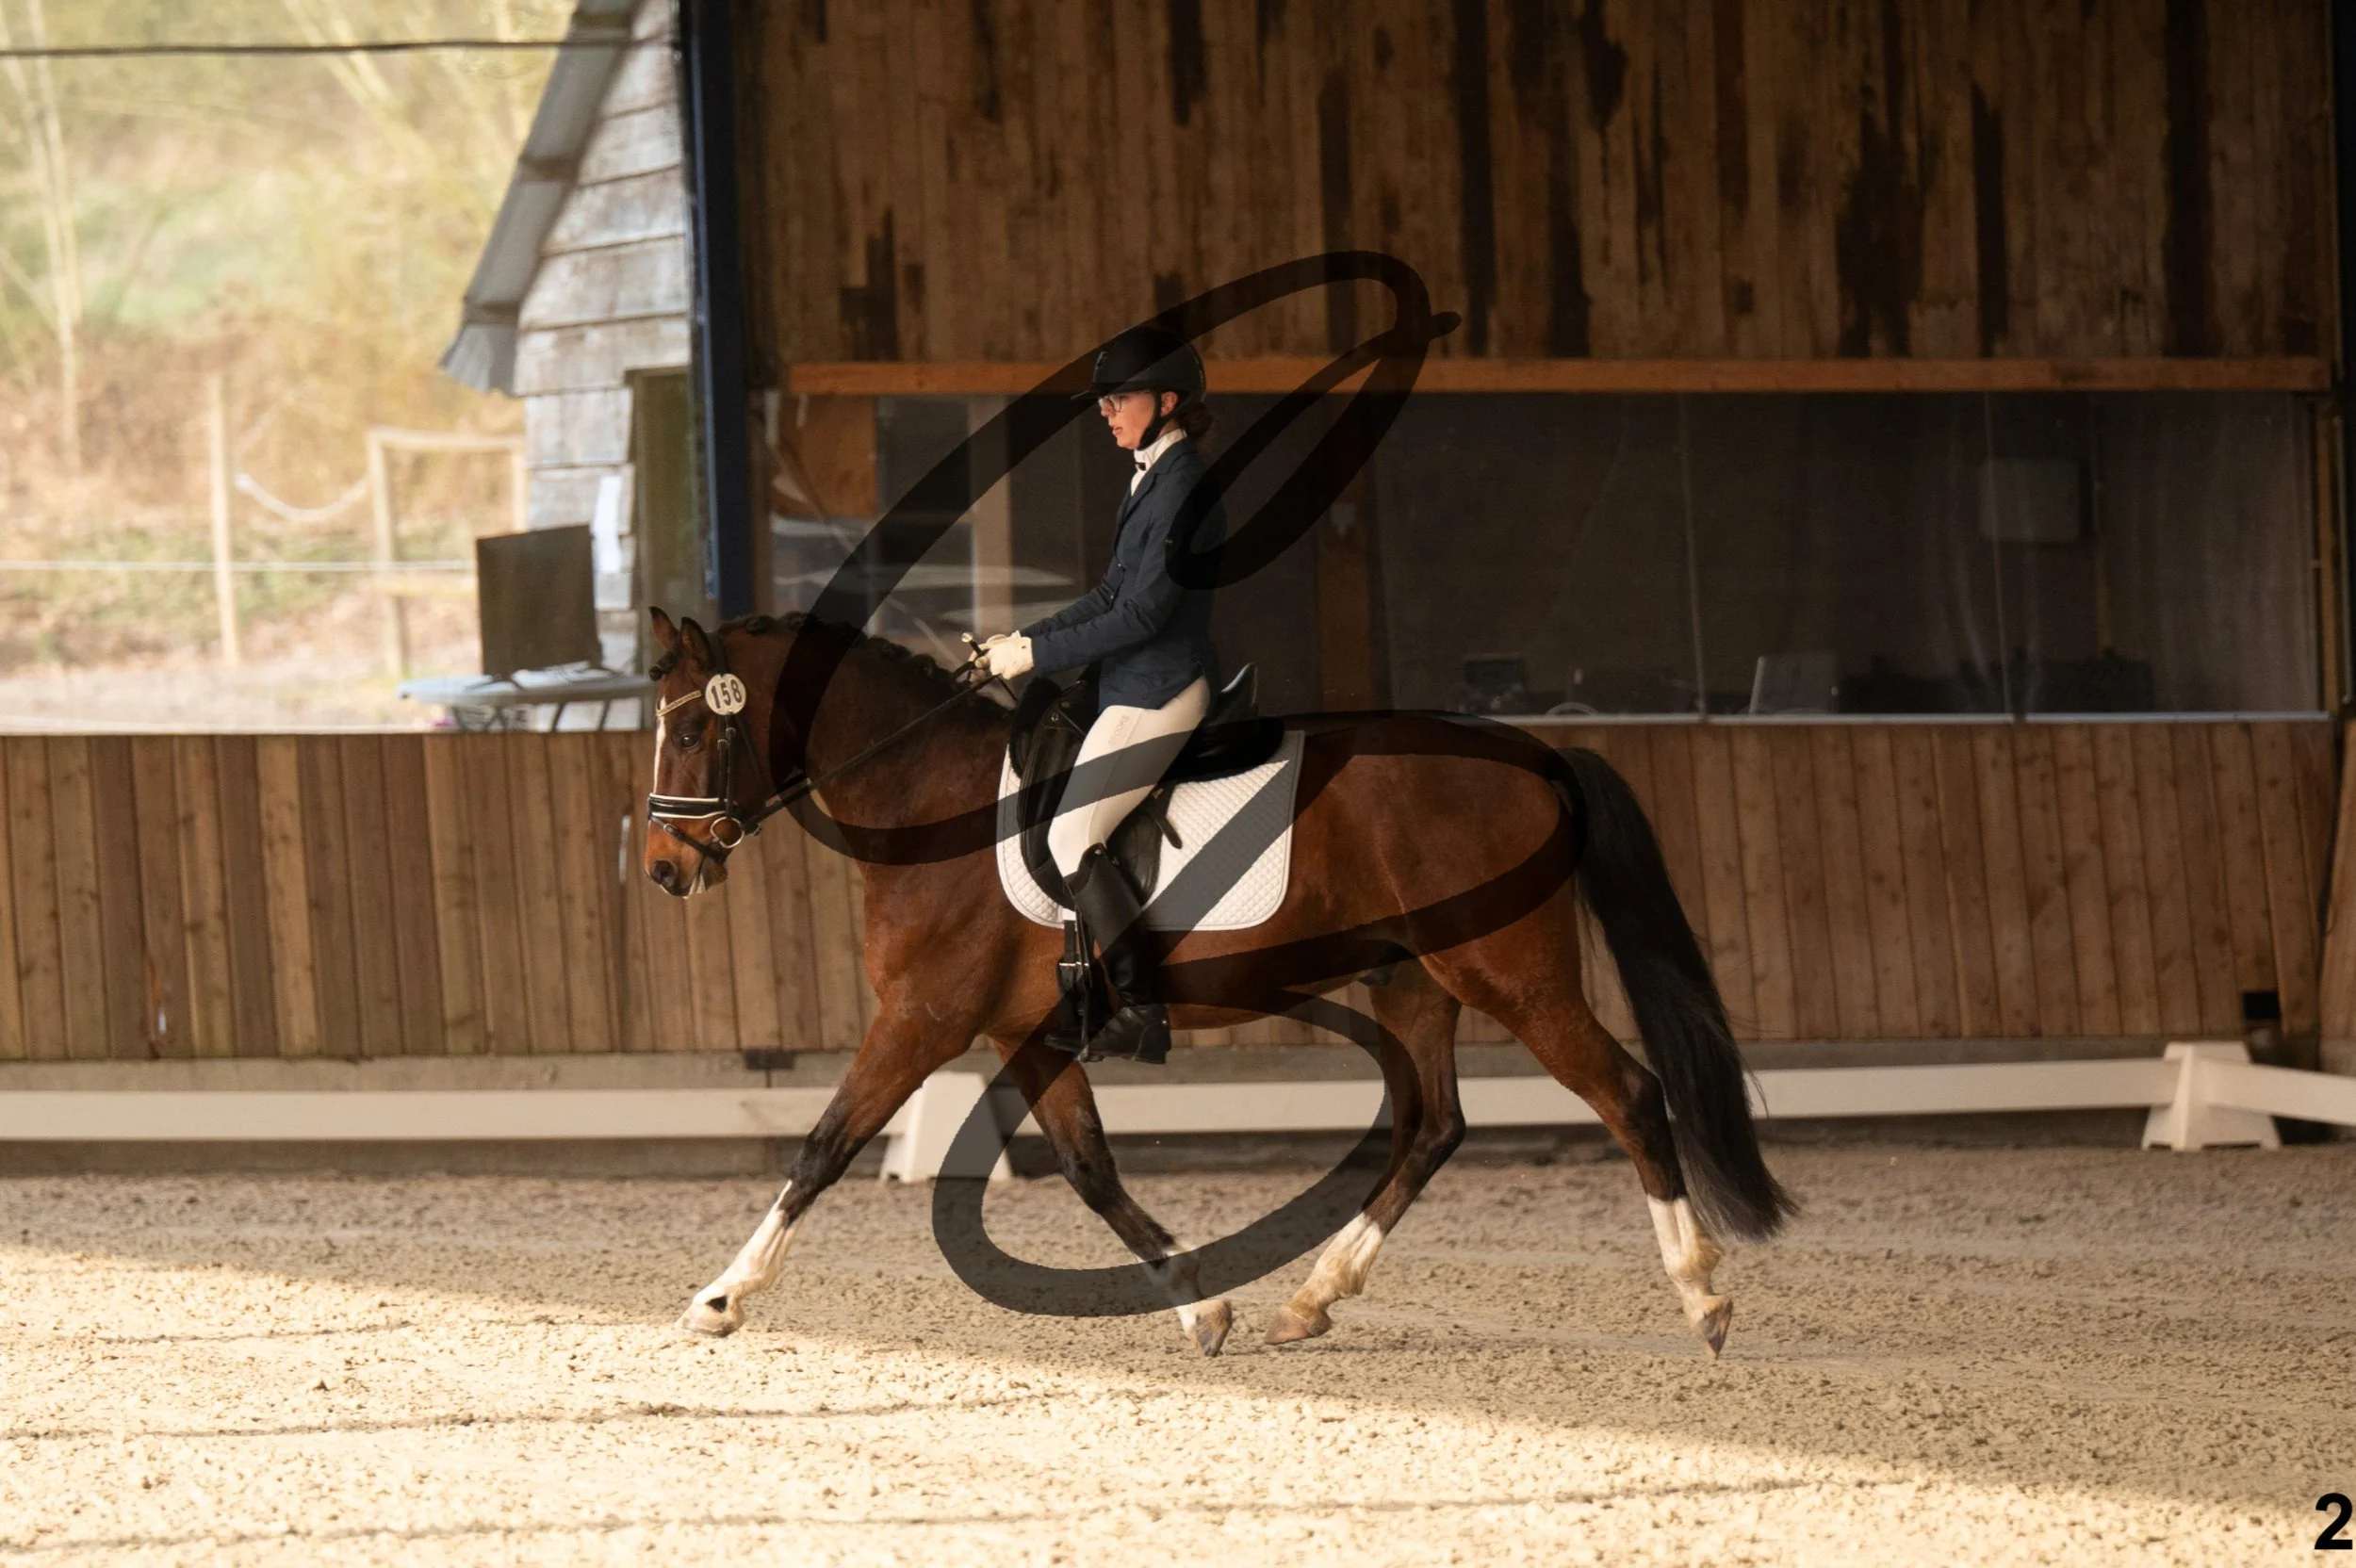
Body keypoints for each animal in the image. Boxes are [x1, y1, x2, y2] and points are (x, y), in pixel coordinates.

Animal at [640, 606, 1793, 1357]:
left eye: (693, 728)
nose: (663, 869)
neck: (931, 800)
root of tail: (1536, 755)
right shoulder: (1023, 1031)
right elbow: (1092, 1171)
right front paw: (1202, 1303)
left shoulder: (923, 1018)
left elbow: (823, 1146)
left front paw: (724, 1295)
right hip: (1409, 981)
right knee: (1433, 1127)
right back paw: (1312, 1298)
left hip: (1510, 973)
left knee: (1628, 1095)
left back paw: (1702, 1299)